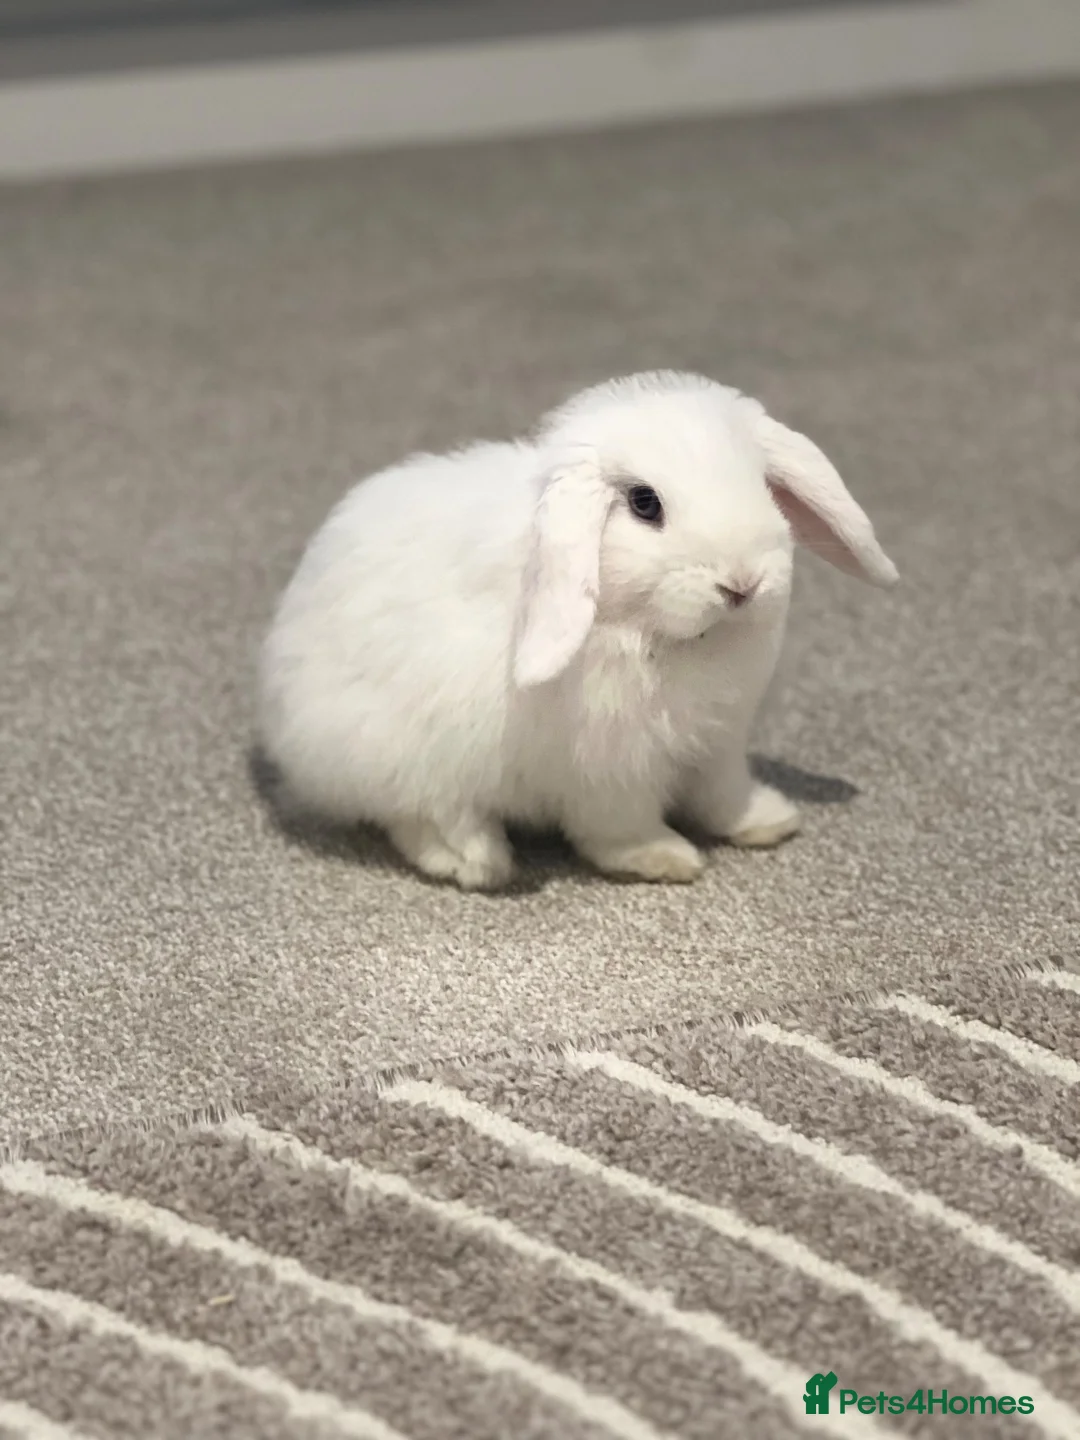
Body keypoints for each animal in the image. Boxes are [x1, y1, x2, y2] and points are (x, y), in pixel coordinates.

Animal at [257, 370, 897, 890]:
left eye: (763, 485)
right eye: (644, 504)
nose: (741, 584)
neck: (654, 633)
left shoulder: (717, 746)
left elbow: (722, 796)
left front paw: (767, 821)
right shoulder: (610, 767)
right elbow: (619, 829)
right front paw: (665, 858)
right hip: (399, 749)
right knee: (421, 814)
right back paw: (479, 862)